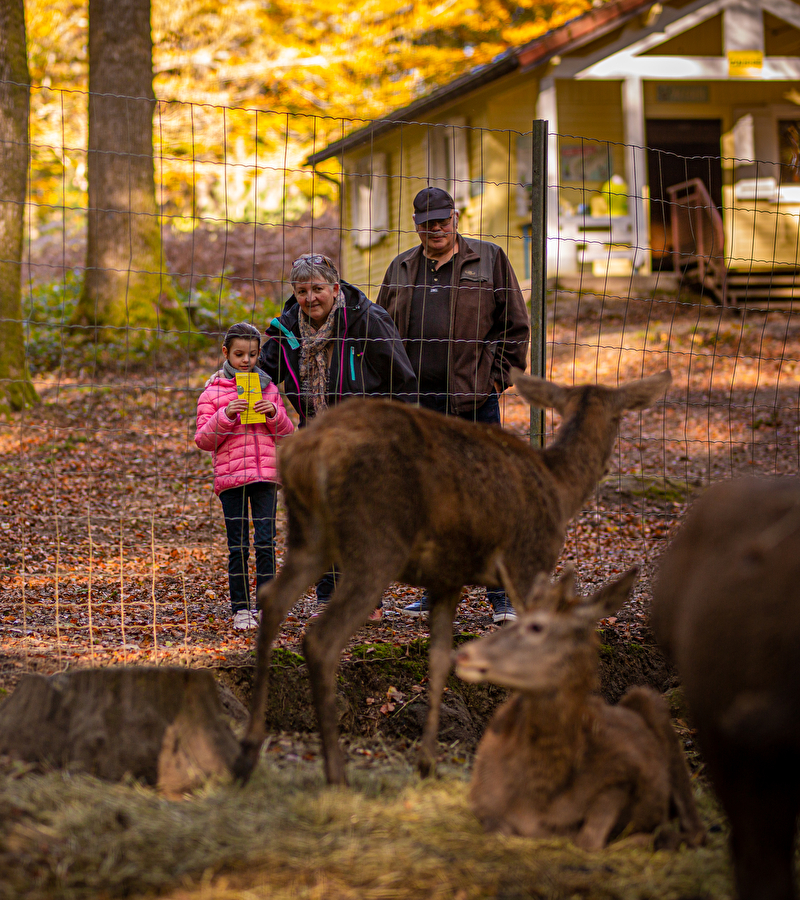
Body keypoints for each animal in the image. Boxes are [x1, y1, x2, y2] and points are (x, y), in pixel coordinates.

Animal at [234, 370, 672, 784]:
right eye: (619, 416)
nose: (607, 466)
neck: (560, 489)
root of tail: (308, 453)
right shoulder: (528, 560)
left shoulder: (446, 578)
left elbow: (440, 660)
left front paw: (427, 764)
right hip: (376, 539)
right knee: (322, 638)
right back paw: (336, 774)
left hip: (310, 534)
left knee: (273, 598)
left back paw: (248, 755)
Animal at [456, 568, 708, 852]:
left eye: (536, 626)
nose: (463, 654)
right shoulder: (480, 800)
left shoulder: (622, 776)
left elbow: (589, 840)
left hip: (650, 698)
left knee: (696, 830)